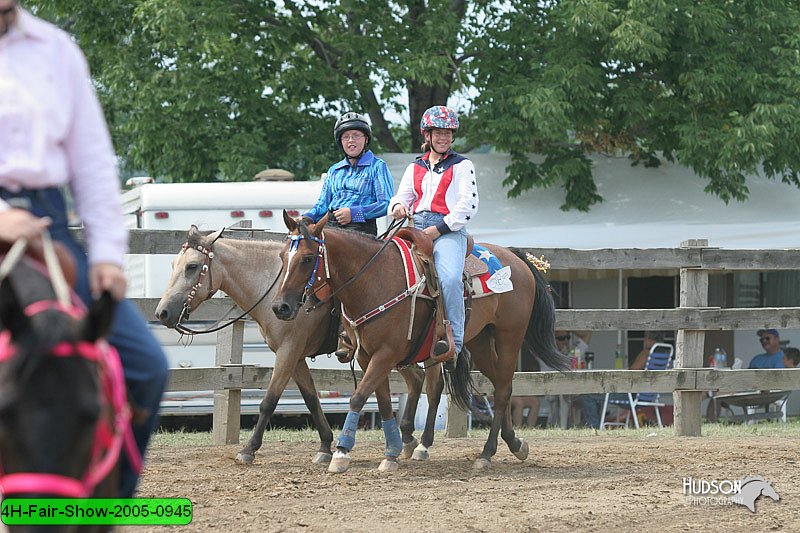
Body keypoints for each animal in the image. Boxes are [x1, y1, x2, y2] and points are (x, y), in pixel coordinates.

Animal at [276, 210, 568, 472]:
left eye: (308, 258)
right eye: (282, 256)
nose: (281, 307)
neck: (375, 280)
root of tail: (515, 257)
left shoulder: (386, 354)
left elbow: (358, 398)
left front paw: (342, 452)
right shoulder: (368, 356)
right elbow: (383, 402)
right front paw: (393, 451)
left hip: (509, 337)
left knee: (503, 389)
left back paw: (486, 454)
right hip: (481, 342)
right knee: (499, 385)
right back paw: (514, 443)